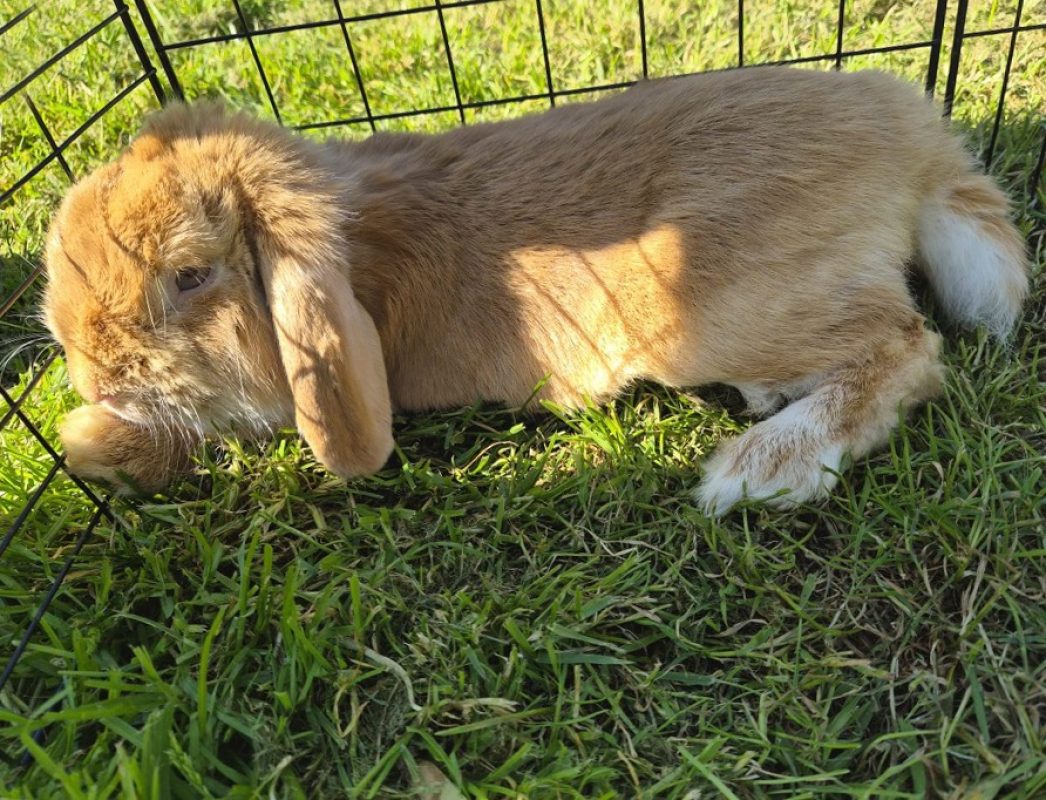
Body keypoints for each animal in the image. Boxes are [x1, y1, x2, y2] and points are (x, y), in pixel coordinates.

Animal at [42, 66, 1029, 512]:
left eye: (190, 276)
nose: (92, 378)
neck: (361, 251)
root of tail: (914, 143)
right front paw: (90, 440)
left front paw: (87, 439)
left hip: (704, 317)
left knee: (909, 348)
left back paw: (758, 470)